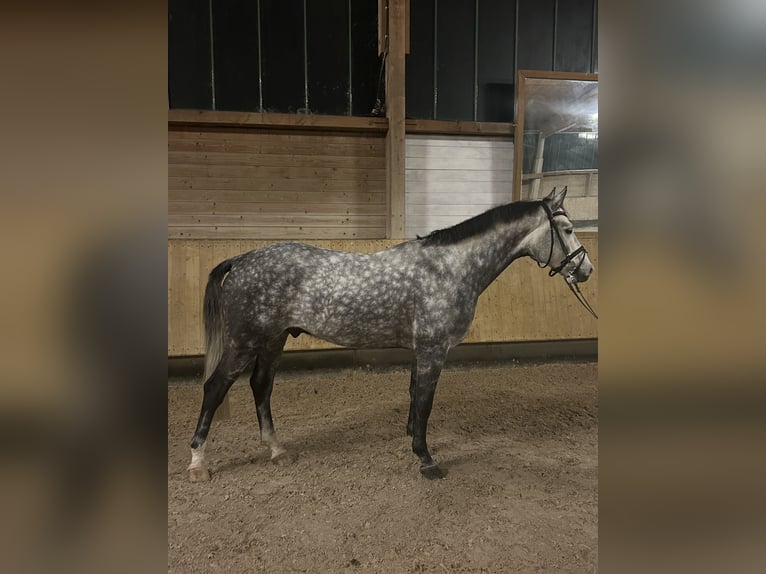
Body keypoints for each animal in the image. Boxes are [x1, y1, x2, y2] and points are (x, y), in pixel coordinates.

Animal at [187, 187, 594, 481]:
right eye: (569, 230)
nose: (585, 269)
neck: (449, 267)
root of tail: (241, 259)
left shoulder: (420, 349)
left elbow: (414, 395)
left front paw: (412, 438)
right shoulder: (433, 349)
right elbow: (425, 402)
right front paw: (426, 459)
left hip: (274, 340)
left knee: (261, 386)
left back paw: (276, 449)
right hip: (244, 342)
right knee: (215, 387)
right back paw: (198, 463)